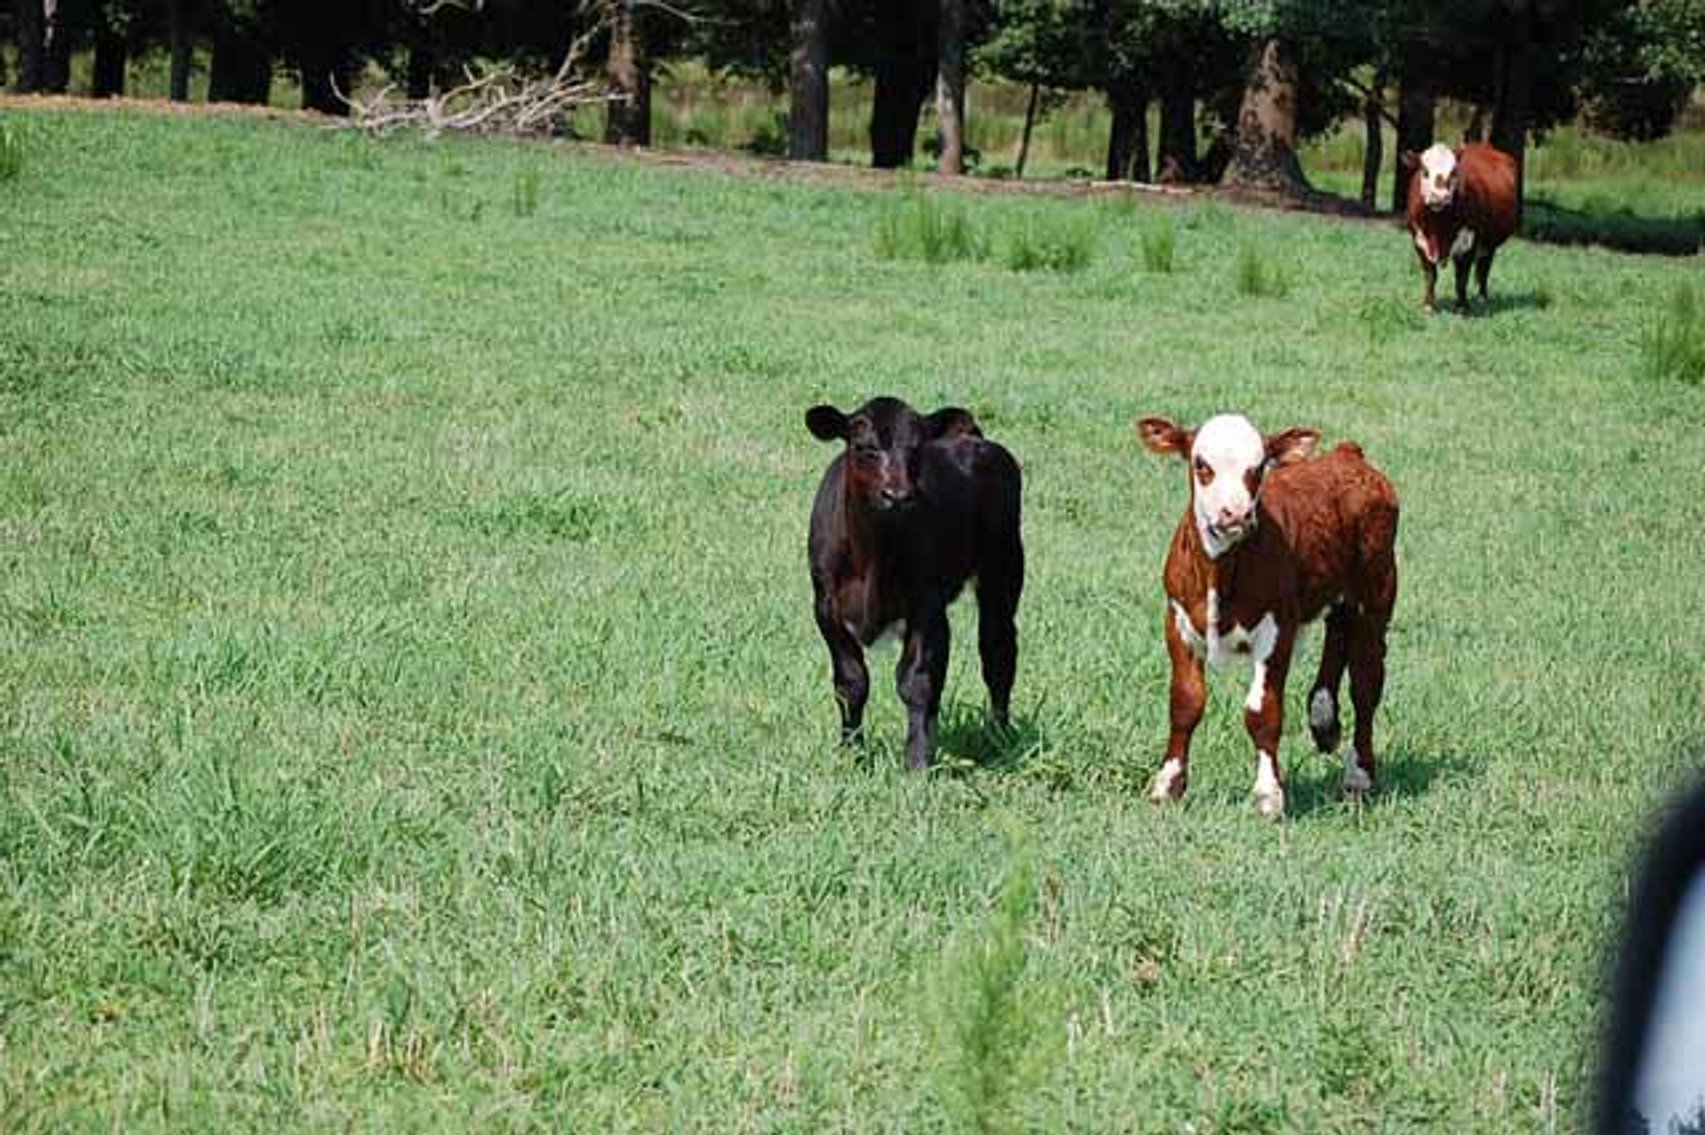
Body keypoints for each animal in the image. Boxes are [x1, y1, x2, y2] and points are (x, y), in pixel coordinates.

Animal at [805, 397, 1024, 769]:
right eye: (864, 446)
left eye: (918, 448)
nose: (898, 495)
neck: (873, 559)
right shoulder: (825, 605)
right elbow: (851, 682)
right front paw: (852, 753)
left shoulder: (928, 606)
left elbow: (918, 682)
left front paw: (918, 762)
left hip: (1004, 569)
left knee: (998, 651)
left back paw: (998, 735)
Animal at [1136, 413, 1399, 818]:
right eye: (1201, 465)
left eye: (1258, 468)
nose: (1235, 514)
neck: (1221, 573)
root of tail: (1347, 454)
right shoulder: (1177, 620)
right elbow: (1185, 702)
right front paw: (1167, 786)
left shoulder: (1277, 629)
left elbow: (1262, 712)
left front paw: (1268, 795)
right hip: (1337, 592)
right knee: (1338, 634)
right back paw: (1324, 721)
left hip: (1377, 590)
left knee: (1366, 683)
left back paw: (1359, 775)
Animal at [1403, 141, 1520, 313]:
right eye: (1425, 171)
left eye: (1453, 172)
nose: (1440, 196)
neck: (1438, 226)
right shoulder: (1419, 240)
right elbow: (1430, 274)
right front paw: (1428, 305)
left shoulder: (1469, 241)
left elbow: (1462, 277)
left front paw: (1462, 306)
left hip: (1489, 243)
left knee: (1484, 268)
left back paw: (1482, 298)